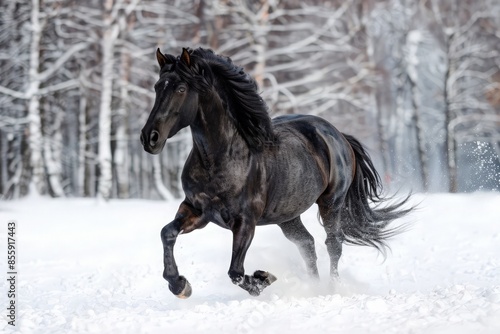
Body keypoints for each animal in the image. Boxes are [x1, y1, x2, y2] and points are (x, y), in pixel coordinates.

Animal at [140, 47, 410, 298]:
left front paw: (263, 278)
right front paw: (179, 285)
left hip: (331, 202)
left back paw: (331, 288)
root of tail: (338, 135)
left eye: (181, 89)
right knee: (307, 245)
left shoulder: (245, 221)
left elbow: (235, 272)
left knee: (333, 244)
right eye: (157, 87)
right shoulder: (197, 211)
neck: (221, 159)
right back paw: (314, 287)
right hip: (288, 215)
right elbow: (167, 233)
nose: (149, 138)